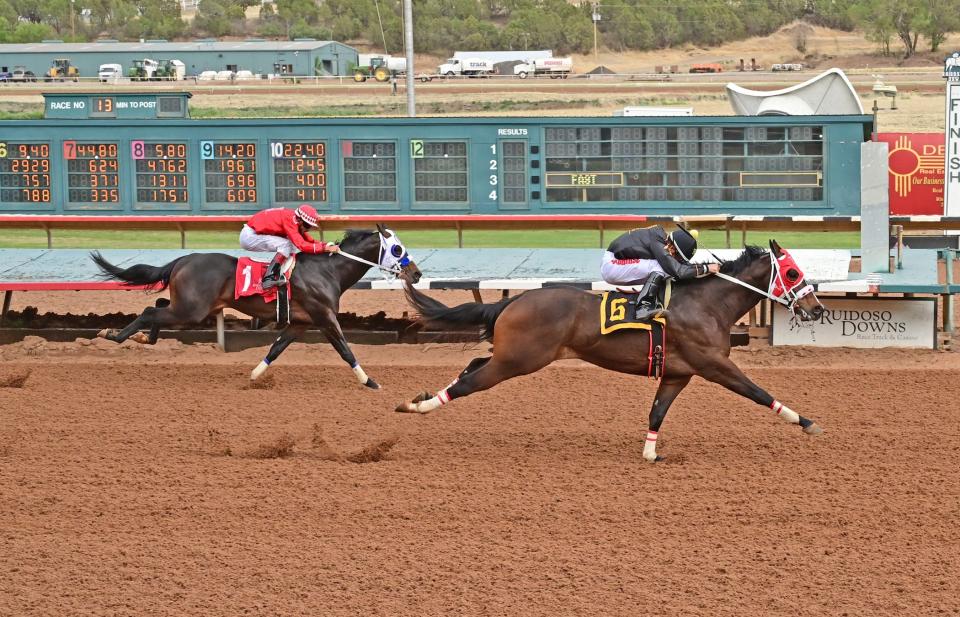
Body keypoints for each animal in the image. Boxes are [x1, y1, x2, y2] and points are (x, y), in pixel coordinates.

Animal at [93, 224, 420, 388]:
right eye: (397, 249)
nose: (415, 273)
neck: (328, 271)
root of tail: (184, 259)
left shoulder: (300, 323)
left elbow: (276, 349)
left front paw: (254, 375)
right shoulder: (324, 317)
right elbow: (345, 349)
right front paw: (370, 381)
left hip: (187, 305)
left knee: (158, 305)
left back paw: (144, 337)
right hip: (192, 310)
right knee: (151, 311)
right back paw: (115, 335)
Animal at [398, 241, 824, 462]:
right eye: (792, 273)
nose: (817, 308)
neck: (706, 303)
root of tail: (514, 300)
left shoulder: (677, 373)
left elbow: (656, 412)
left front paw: (651, 453)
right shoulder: (714, 365)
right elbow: (758, 392)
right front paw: (805, 421)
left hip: (513, 356)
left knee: (473, 364)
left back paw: (423, 396)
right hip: (519, 360)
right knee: (470, 383)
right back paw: (418, 406)